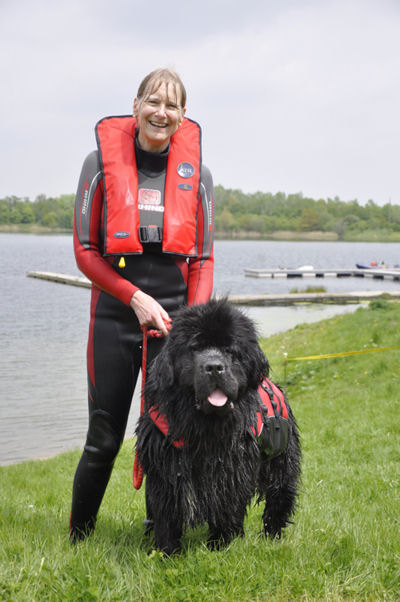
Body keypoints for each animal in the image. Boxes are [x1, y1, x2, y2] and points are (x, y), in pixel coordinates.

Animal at [135, 296, 300, 552]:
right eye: (195, 348)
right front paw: (167, 550)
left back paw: (272, 536)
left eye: (229, 350)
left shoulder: (231, 468)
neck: (204, 426)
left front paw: (220, 545)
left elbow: (226, 505)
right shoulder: (166, 468)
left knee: (279, 498)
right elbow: (167, 511)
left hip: (282, 460)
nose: (214, 367)